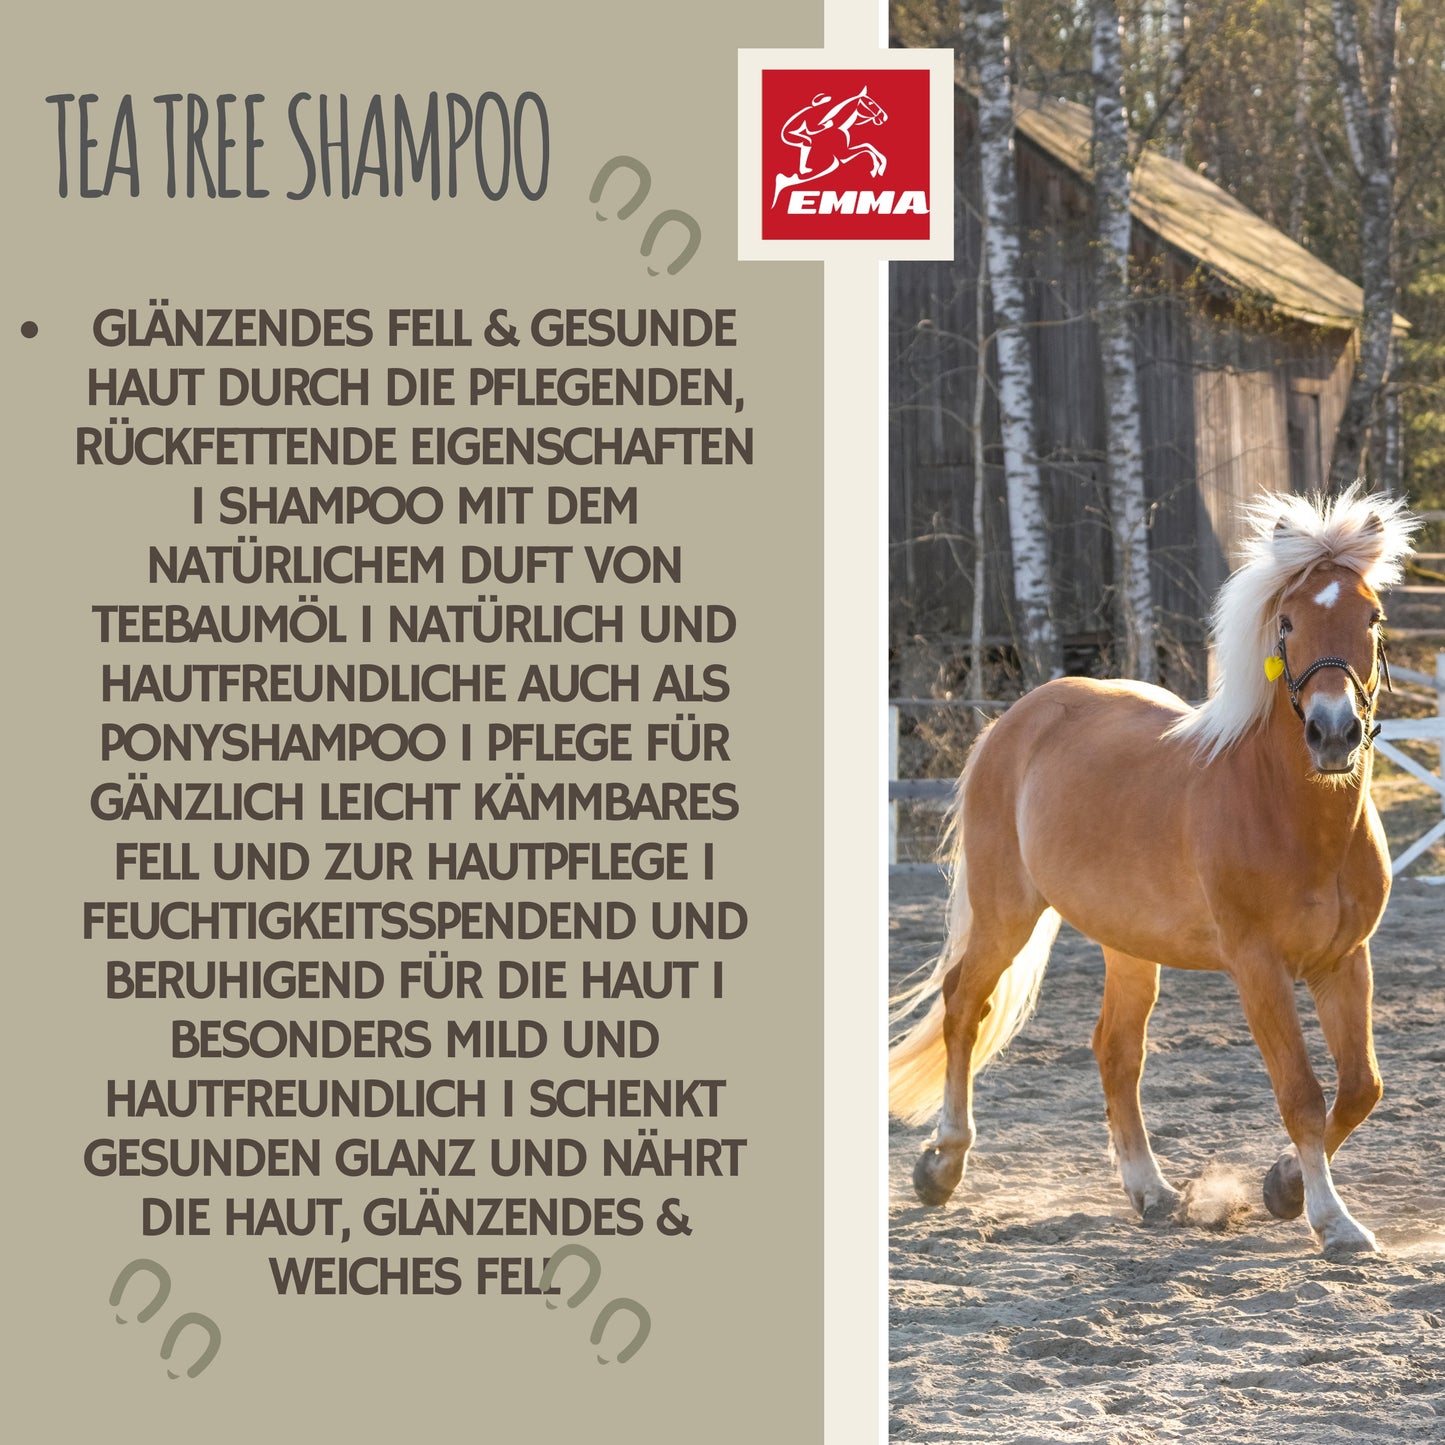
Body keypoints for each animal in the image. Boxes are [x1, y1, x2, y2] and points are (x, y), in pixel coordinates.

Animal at [888, 487, 1419, 1254]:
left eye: (1370, 616)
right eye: (1287, 621)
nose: (1332, 733)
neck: (1290, 814)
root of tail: (1016, 719)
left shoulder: (1344, 960)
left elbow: (1360, 1088)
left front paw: (1282, 1186)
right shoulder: (1257, 967)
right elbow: (1301, 1093)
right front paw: (1333, 1220)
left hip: (1128, 945)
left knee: (1115, 1051)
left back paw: (1151, 1191)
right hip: (1004, 911)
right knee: (964, 1005)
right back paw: (942, 1165)